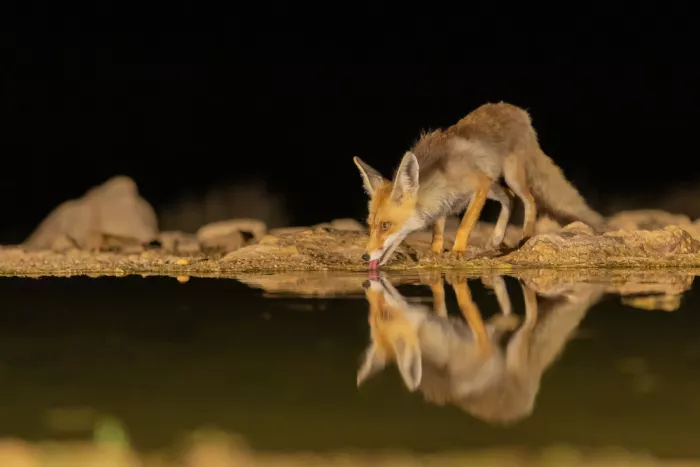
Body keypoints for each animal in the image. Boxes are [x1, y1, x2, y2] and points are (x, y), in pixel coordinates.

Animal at [353, 102, 606, 269]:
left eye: (385, 226)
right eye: (370, 225)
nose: (364, 257)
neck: (442, 172)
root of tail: (518, 110)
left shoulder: (479, 184)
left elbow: (465, 224)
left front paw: (457, 251)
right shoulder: (446, 201)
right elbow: (438, 231)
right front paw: (435, 253)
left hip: (510, 177)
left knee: (528, 199)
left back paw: (525, 235)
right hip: (494, 185)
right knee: (509, 197)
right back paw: (497, 238)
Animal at [356, 272, 605, 424]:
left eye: (385, 315)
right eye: (370, 319)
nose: (368, 287)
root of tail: (521, 410)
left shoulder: (482, 346)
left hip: (516, 349)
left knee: (530, 318)